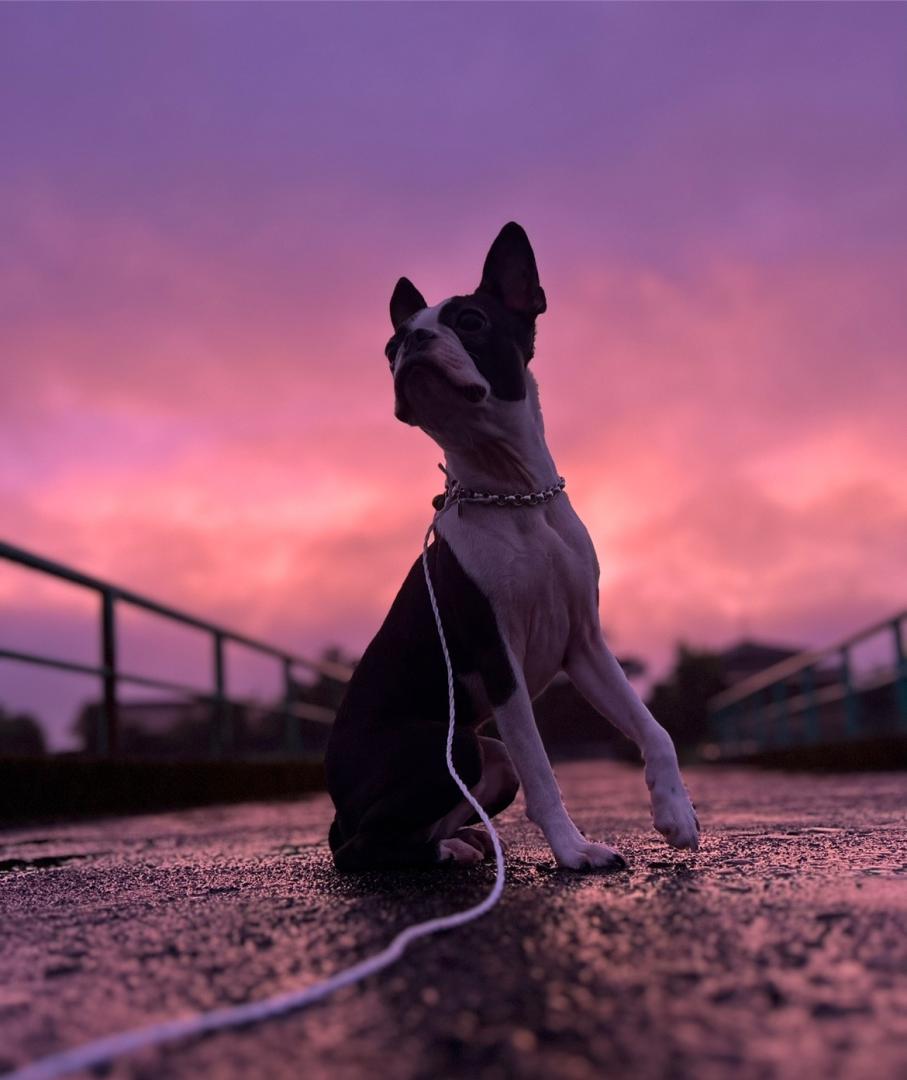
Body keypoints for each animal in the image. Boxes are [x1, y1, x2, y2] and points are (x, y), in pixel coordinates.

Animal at [326, 221, 699, 868]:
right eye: (390, 346)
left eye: (471, 320)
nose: (411, 340)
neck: (516, 495)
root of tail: (333, 798)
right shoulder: (500, 660)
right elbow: (543, 768)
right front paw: (574, 851)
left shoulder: (585, 645)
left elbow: (654, 727)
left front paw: (675, 812)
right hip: (456, 747)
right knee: (359, 845)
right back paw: (440, 853)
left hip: (485, 757)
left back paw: (457, 841)